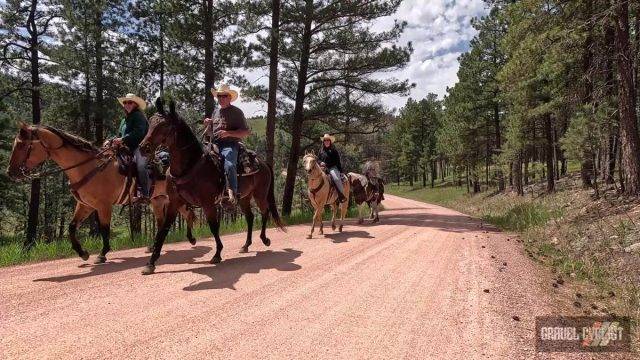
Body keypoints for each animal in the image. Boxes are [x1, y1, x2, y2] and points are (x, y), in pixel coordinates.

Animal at [6, 122, 196, 262]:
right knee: (162, 222)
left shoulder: (104, 206)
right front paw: (82, 253)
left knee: (189, 215)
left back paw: (191, 239)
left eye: (22, 145)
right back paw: (153, 246)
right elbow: (72, 227)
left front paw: (102, 253)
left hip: (174, 199)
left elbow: (104, 229)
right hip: (157, 200)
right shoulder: (85, 205)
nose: (10, 172)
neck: (89, 167)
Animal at [138, 100, 284, 274]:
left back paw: (265, 239)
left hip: (260, 194)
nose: (143, 147)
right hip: (244, 197)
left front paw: (217, 254)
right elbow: (163, 231)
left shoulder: (207, 203)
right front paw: (150, 263)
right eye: (151, 123)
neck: (190, 166)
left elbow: (214, 226)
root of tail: (263, 163)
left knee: (264, 212)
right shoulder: (174, 203)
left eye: (164, 125)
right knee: (250, 217)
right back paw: (245, 245)